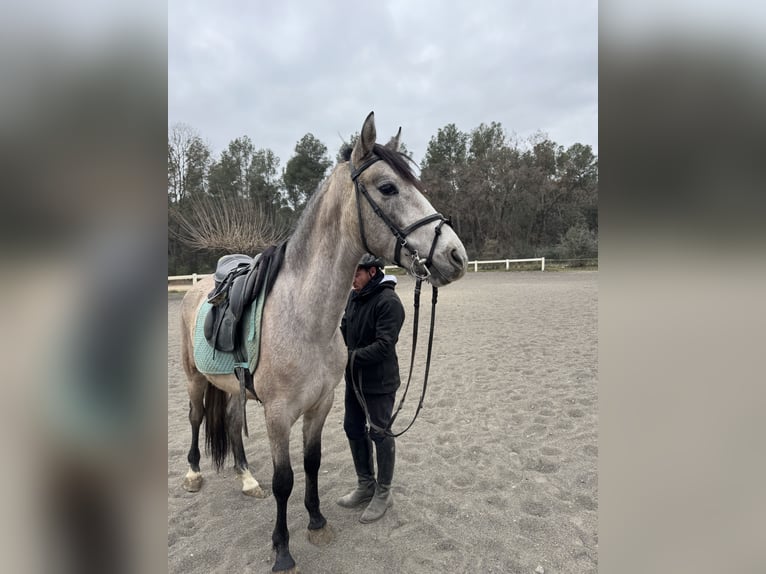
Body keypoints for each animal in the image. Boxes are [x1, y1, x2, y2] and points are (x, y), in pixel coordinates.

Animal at [180, 111, 468, 572]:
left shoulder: (320, 406)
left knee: (231, 423)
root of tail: (199, 285)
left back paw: (246, 478)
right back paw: (192, 474)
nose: (456, 257)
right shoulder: (278, 415)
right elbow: (285, 480)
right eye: (388, 187)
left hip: (232, 388)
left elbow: (311, 465)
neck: (303, 318)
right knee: (195, 419)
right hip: (193, 379)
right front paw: (282, 550)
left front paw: (316, 523)